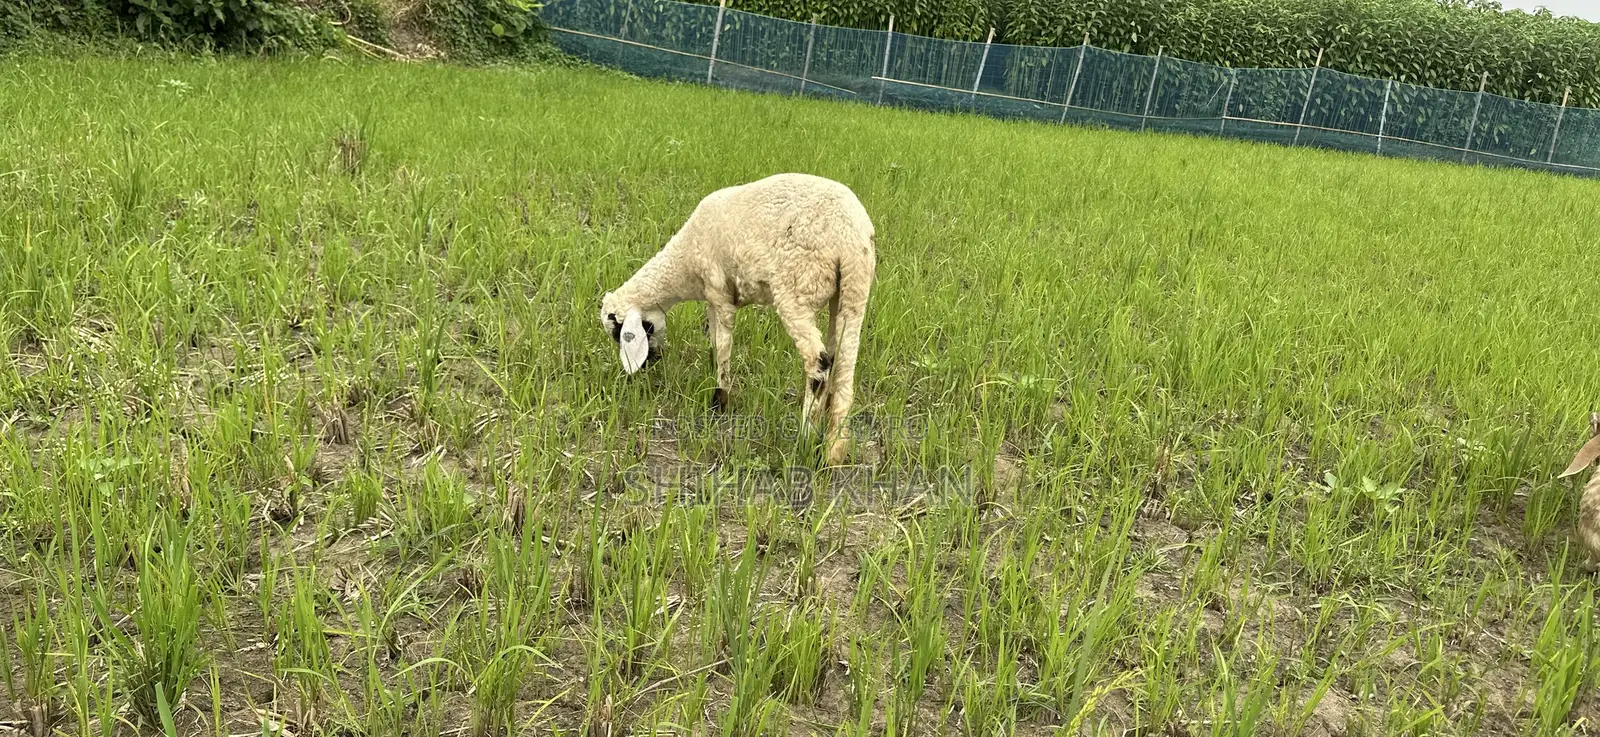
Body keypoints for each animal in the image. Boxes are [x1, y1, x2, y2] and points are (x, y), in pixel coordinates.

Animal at [599, 172, 876, 464]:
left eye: (619, 332)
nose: (648, 363)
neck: (684, 267)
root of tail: (851, 236)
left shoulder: (719, 292)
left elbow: (723, 346)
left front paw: (720, 400)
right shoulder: (712, 297)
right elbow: (714, 341)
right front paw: (713, 378)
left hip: (796, 287)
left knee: (819, 361)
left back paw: (805, 438)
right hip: (852, 294)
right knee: (843, 366)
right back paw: (834, 450)